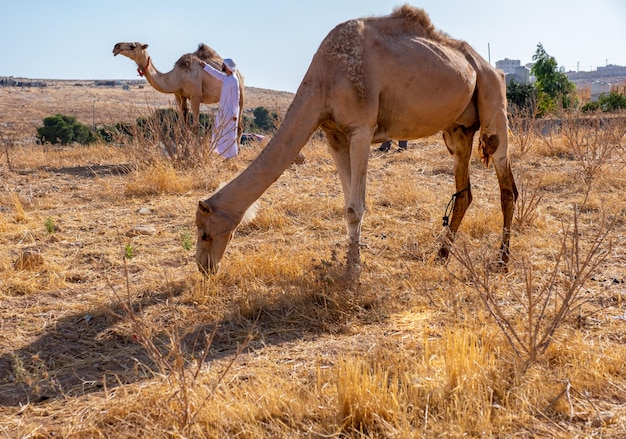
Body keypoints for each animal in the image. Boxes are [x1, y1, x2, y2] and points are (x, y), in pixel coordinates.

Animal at [195, 4, 516, 276]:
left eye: (205, 232)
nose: (204, 267)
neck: (324, 79)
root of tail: (490, 67)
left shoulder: (361, 129)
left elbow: (356, 207)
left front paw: (353, 275)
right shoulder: (333, 134)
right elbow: (347, 205)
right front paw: (350, 266)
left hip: (493, 100)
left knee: (506, 185)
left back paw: (502, 260)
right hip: (458, 129)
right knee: (464, 193)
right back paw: (441, 256)